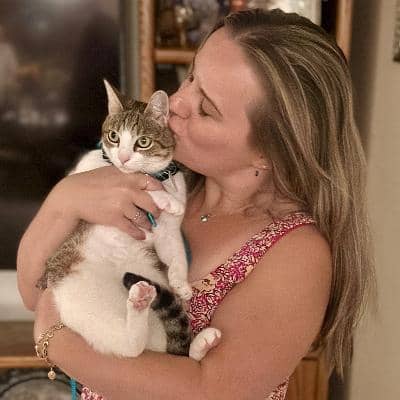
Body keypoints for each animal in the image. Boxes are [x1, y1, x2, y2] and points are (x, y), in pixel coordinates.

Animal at [37, 80, 221, 360]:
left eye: (142, 142)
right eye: (114, 136)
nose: (123, 157)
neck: (155, 176)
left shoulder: (168, 232)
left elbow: (176, 255)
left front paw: (181, 283)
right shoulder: (88, 175)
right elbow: (132, 180)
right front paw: (164, 198)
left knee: (171, 350)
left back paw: (201, 343)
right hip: (83, 301)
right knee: (130, 347)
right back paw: (139, 304)